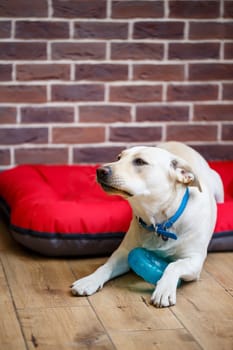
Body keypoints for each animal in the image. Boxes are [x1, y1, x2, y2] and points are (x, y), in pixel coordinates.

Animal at [71, 142, 224, 306]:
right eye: (118, 158)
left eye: (140, 161)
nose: (100, 170)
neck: (161, 223)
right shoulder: (124, 251)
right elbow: (106, 266)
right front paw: (89, 280)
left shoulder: (194, 261)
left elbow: (174, 265)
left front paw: (164, 289)